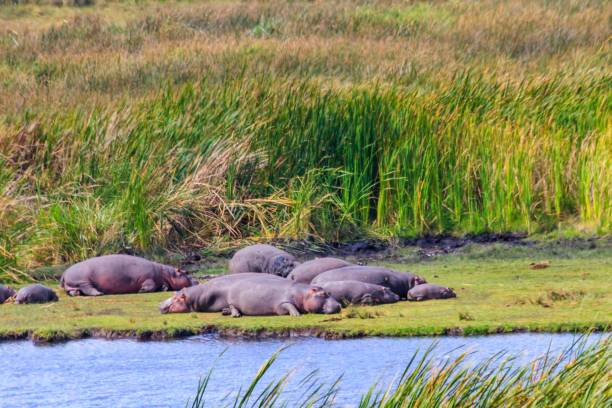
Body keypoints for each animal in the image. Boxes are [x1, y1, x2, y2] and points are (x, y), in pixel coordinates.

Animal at [60, 253, 192, 294]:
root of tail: (64, 273)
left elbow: (163, 286)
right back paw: (99, 293)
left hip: (73, 284)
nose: (195, 280)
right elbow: (151, 285)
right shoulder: (148, 278)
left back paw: (76, 293)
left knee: (73, 291)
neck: (166, 273)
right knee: (88, 288)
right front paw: (142, 290)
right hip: (83, 280)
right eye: (185, 272)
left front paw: (163, 288)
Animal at [157, 272, 340, 318]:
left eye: (328, 292)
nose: (338, 305)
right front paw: (295, 314)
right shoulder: (282, 303)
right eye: (323, 293)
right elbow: (287, 305)